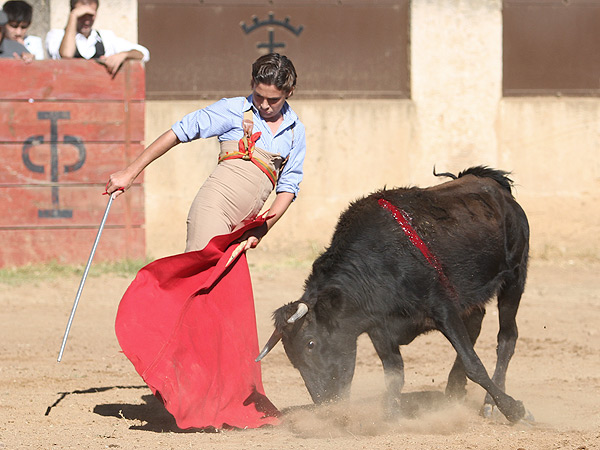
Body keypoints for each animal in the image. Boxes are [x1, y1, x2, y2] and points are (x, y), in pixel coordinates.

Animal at [258, 167, 536, 424]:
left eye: (310, 343)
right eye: (291, 358)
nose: (326, 404)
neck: (376, 264)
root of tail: (495, 185)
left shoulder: (442, 308)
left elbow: (473, 365)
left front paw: (514, 409)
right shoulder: (380, 328)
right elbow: (394, 373)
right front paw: (390, 417)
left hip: (514, 278)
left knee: (506, 338)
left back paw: (490, 405)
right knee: (476, 322)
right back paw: (454, 391)